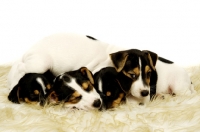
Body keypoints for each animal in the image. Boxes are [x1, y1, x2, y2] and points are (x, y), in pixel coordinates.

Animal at [8, 33, 195, 106]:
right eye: (132, 74)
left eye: (149, 74)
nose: (145, 92)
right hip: (40, 63)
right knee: (19, 66)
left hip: (179, 87)